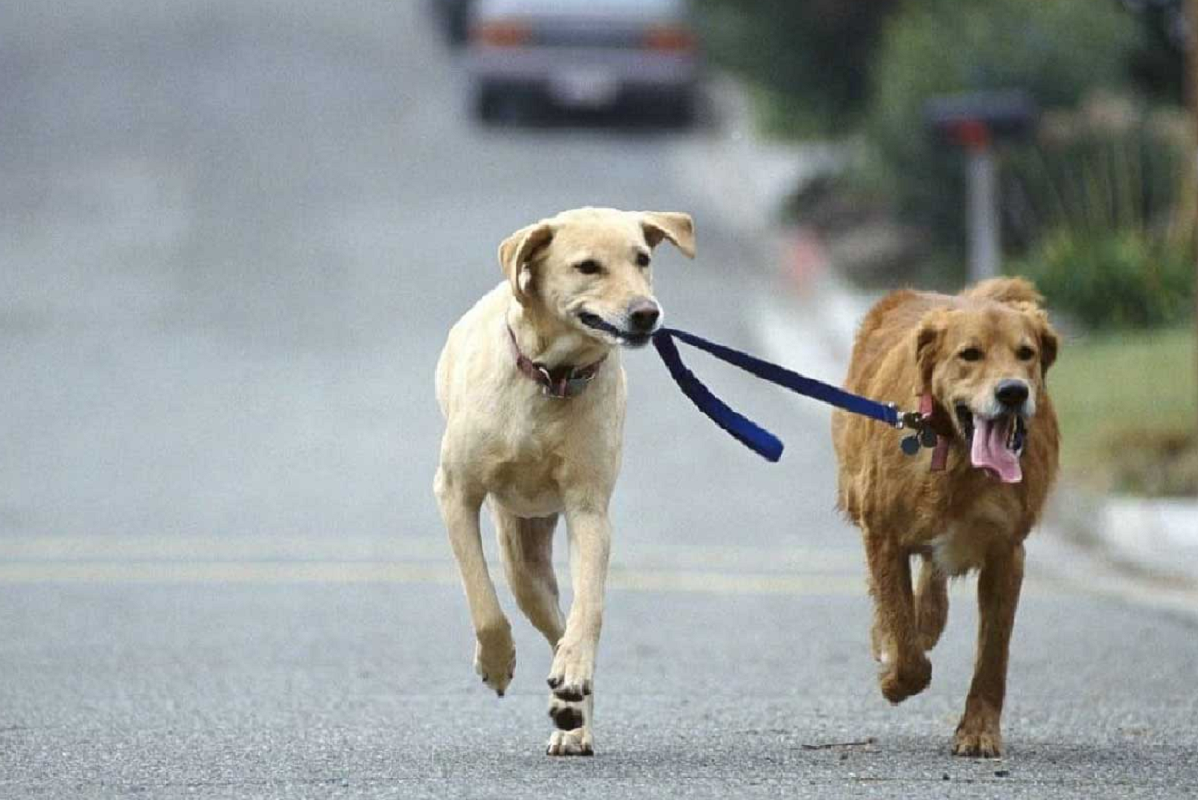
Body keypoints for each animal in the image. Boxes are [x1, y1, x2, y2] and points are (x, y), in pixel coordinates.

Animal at [434, 206, 696, 758]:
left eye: (642, 259)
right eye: (587, 266)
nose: (646, 313)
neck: (550, 379)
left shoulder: (588, 508)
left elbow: (589, 607)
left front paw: (573, 677)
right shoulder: (455, 493)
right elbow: (482, 598)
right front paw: (496, 662)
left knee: (564, 627)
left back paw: (572, 710)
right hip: (520, 556)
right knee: (535, 609)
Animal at [835, 277, 1060, 758]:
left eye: (1026, 353)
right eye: (969, 354)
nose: (1013, 392)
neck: (958, 456)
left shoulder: (1007, 553)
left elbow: (992, 654)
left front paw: (978, 730)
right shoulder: (882, 534)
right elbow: (902, 635)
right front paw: (895, 677)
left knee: (933, 582)